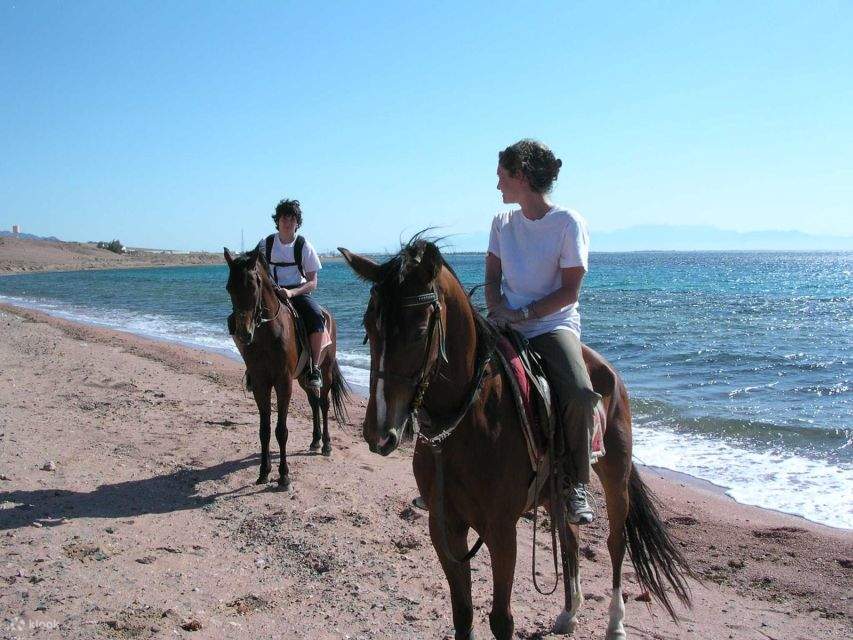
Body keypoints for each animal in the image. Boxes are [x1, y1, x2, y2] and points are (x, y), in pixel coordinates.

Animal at [224, 246, 349, 489]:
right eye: (229, 287)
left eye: (253, 286)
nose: (243, 333)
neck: (268, 333)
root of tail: (327, 314)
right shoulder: (261, 383)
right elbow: (264, 430)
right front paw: (264, 472)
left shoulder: (283, 383)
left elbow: (281, 430)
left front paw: (283, 476)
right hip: (302, 377)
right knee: (314, 402)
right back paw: (315, 440)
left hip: (326, 370)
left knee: (324, 403)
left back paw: (326, 444)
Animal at [339, 239, 694, 640]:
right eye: (369, 325)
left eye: (418, 332)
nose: (379, 432)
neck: (466, 423)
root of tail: (607, 371)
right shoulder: (444, 527)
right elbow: (462, 613)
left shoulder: (501, 530)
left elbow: (500, 619)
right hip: (555, 493)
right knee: (570, 539)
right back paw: (569, 613)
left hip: (615, 476)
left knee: (615, 542)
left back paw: (615, 623)